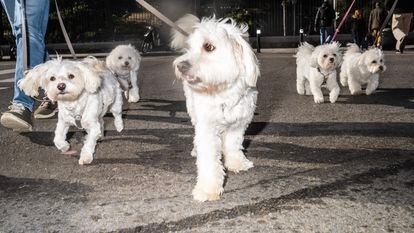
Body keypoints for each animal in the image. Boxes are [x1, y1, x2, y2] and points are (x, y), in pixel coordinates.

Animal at [171, 15, 258, 202]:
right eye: (190, 48)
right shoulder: (207, 128)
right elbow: (209, 159)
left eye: (208, 47)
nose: (180, 66)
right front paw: (207, 188)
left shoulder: (239, 124)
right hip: (193, 112)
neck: (223, 93)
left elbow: (233, 144)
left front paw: (237, 163)